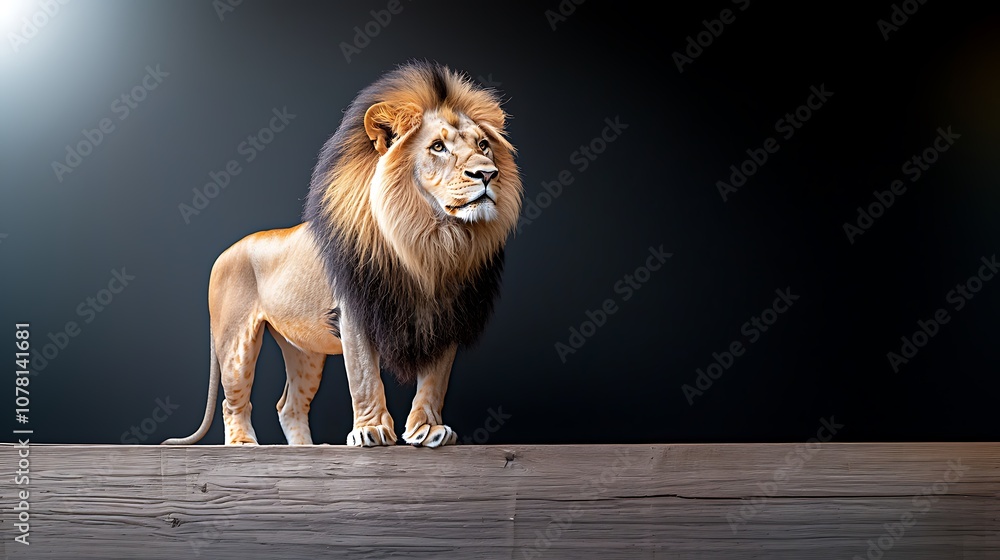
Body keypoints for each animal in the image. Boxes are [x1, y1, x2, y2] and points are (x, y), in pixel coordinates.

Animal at [162, 61, 522, 447]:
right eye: (437, 147)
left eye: (484, 145)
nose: (487, 174)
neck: (432, 242)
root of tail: (225, 252)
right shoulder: (355, 313)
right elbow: (364, 376)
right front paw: (371, 430)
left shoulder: (448, 316)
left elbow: (434, 381)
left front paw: (427, 429)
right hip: (235, 342)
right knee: (234, 402)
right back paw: (244, 445)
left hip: (304, 348)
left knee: (289, 405)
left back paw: (305, 451)